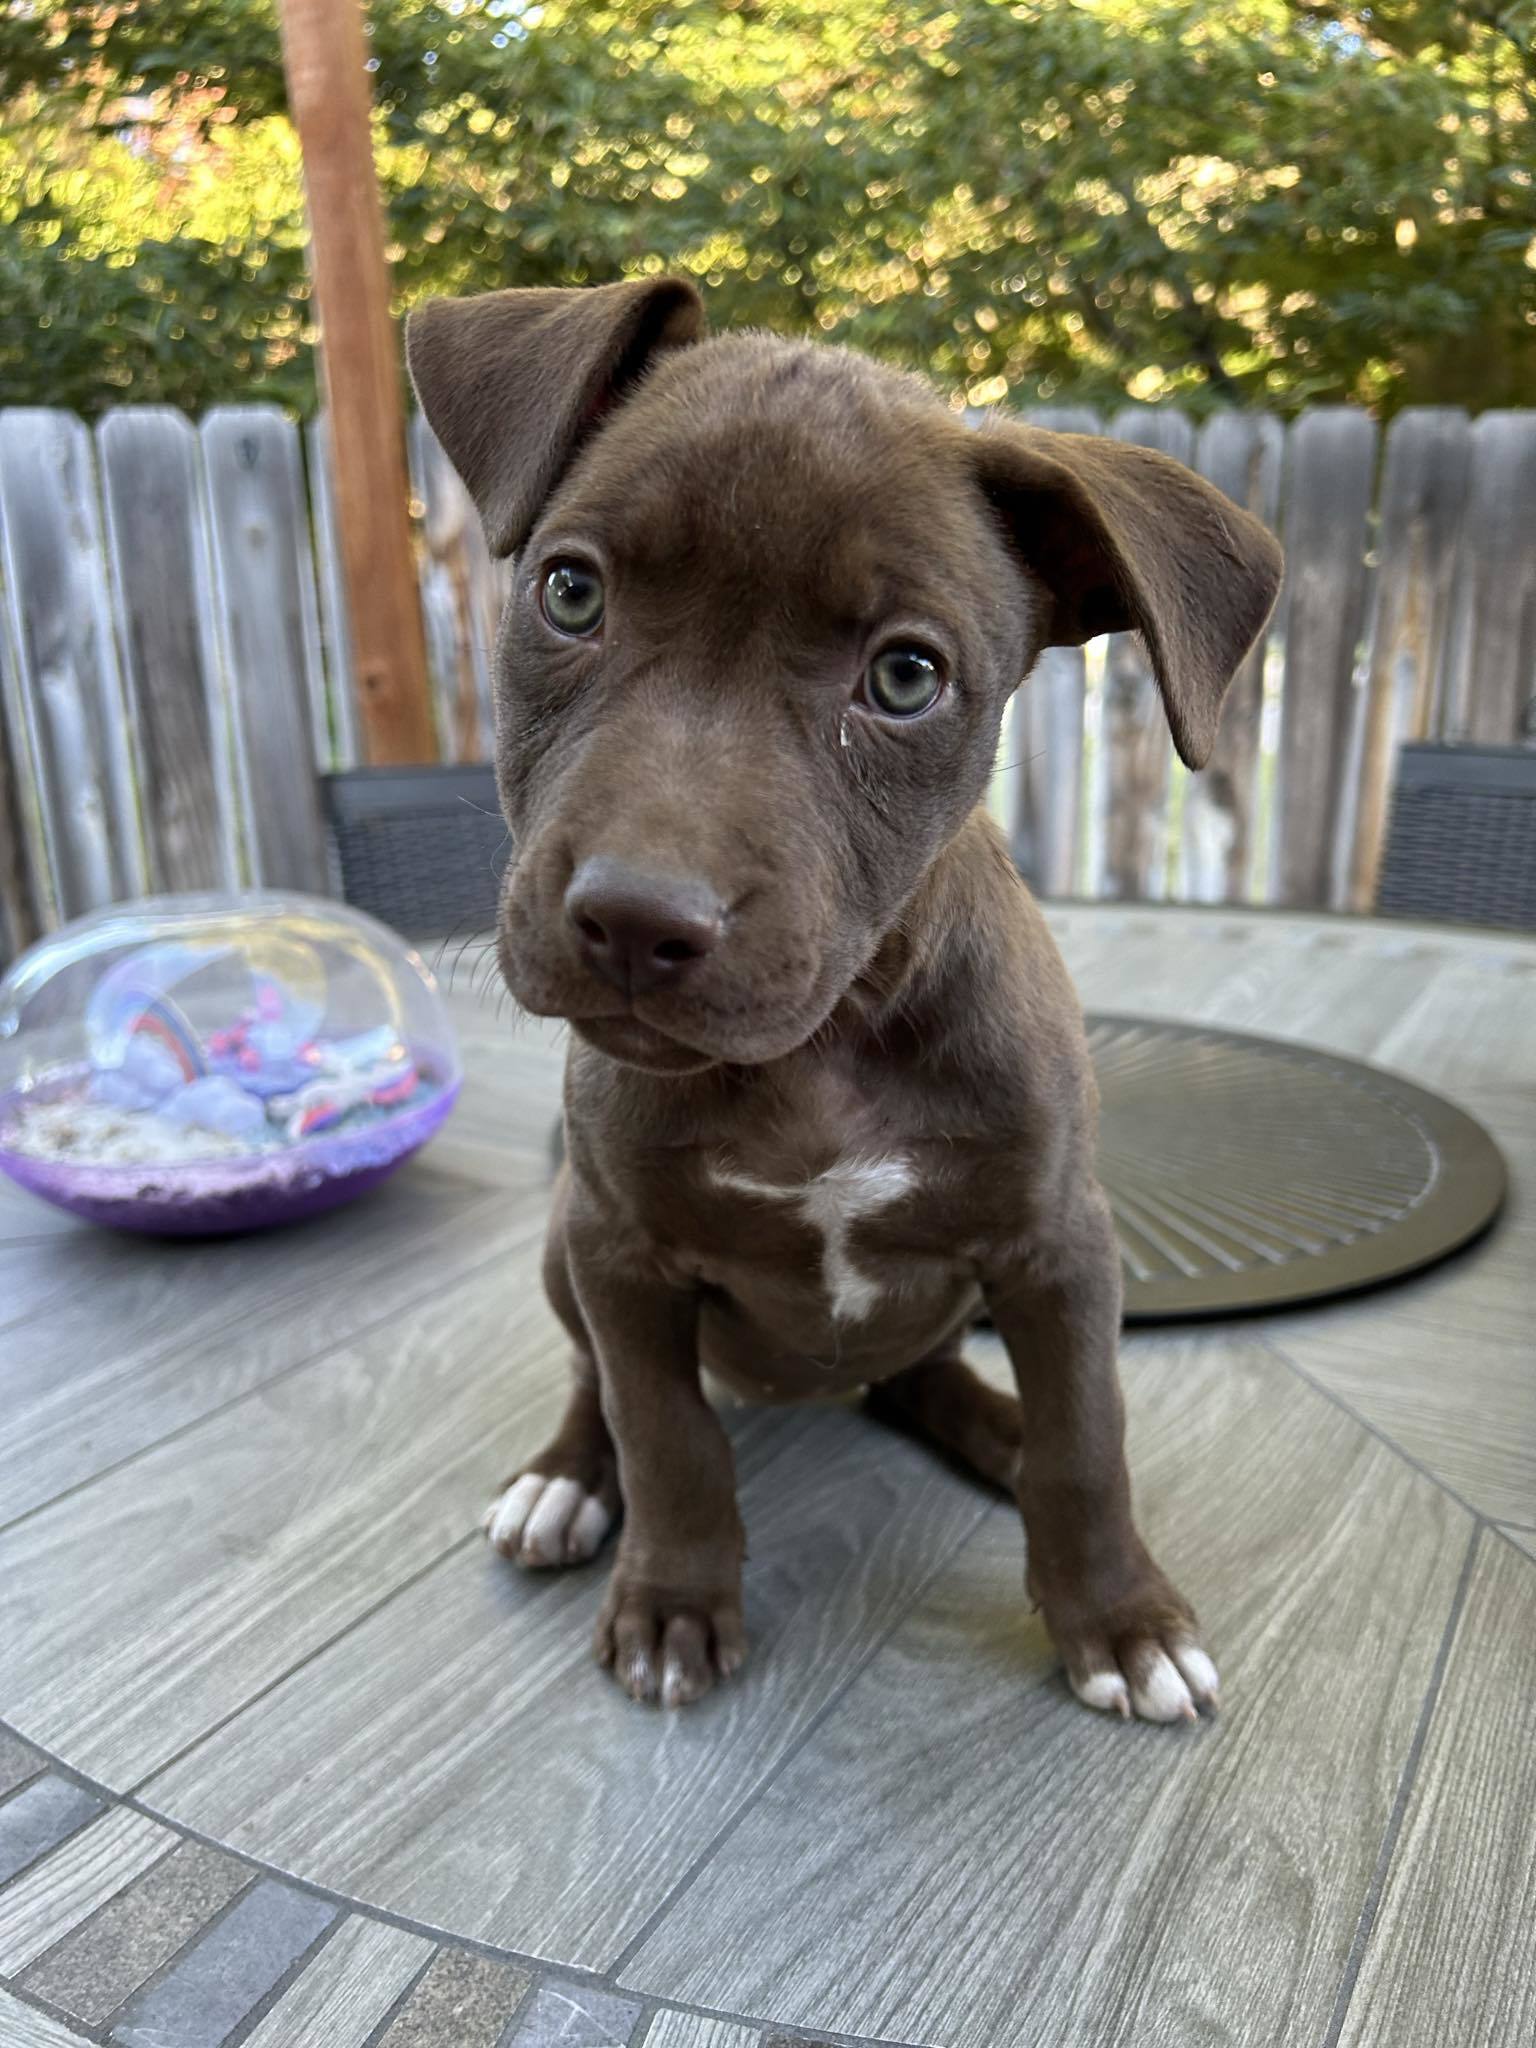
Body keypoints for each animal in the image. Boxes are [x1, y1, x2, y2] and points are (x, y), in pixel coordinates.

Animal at [409, 284, 1286, 1728]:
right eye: (571, 590)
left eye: (906, 678)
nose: (637, 918)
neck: (823, 1045)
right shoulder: (620, 1251)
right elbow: (668, 1434)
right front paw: (672, 1597)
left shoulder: (1061, 1244)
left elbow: (1088, 1440)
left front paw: (1118, 1618)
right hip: (561, 1244)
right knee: (601, 1385)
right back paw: (568, 1478)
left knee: (938, 1384)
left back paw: (996, 1430)